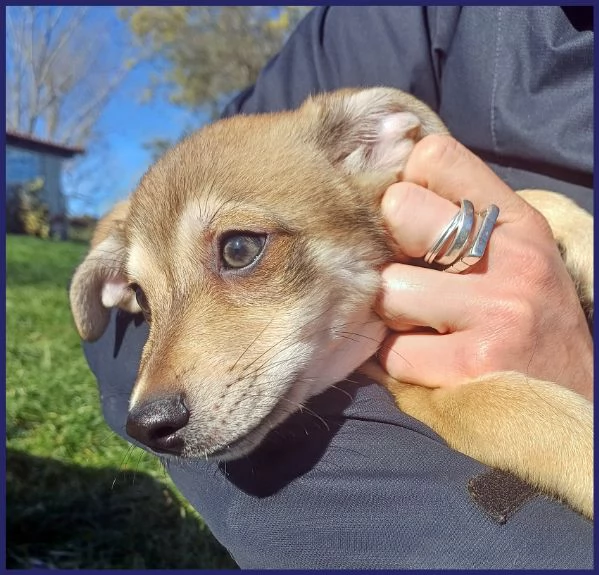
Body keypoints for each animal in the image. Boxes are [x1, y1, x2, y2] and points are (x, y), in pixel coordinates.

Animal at [70, 88, 596, 520]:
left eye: (239, 249)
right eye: (140, 296)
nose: (144, 428)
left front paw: (581, 237)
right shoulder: (416, 392)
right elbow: (509, 401)